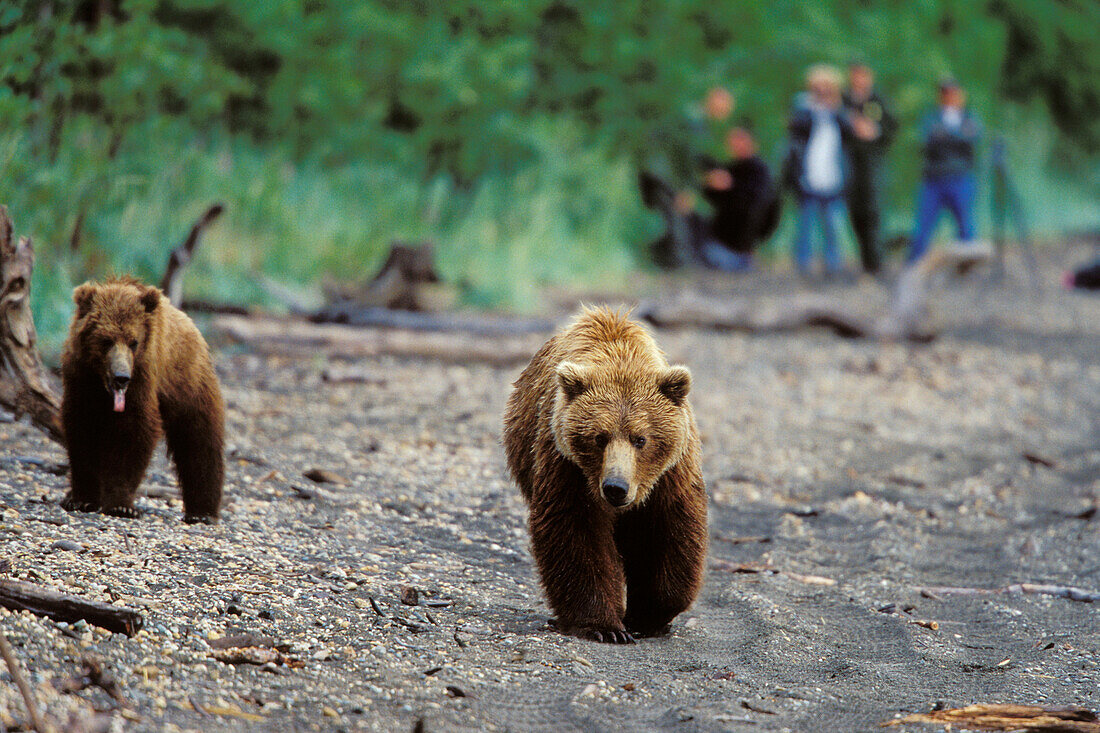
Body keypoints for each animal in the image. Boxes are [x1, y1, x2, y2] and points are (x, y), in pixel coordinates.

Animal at [60, 274, 225, 519]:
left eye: (133, 341)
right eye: (106, 340)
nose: (121, 377)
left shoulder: (142, 378)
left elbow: (134, 431)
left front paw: (121, 505)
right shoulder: (80, 379)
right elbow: (81, 431)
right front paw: (81, 499)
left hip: (188, 382)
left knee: (199, 440)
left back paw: (202, 511)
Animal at [503, 305, 708, 642]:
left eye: (641, 439)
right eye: (599, 437)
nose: (615, 487)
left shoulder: (668, 475)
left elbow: (664, 533)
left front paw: (647, 616)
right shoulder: (567, 465)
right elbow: (576, 532)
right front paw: (604, 626)